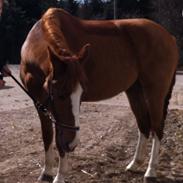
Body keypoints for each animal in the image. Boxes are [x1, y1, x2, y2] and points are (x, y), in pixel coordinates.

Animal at [20, 7, 179, 183]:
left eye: (81, 95)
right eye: (59, 94)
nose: (72, 144)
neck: (34, 44)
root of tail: (169, 37)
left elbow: (59, 141)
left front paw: (59, 176)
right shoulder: (39, 102)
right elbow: (47, 136)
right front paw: (46, 172)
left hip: (155, 92)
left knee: (157, 127)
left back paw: (151, 171)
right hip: (134, 90)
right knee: (143, 124)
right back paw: (134, 164)